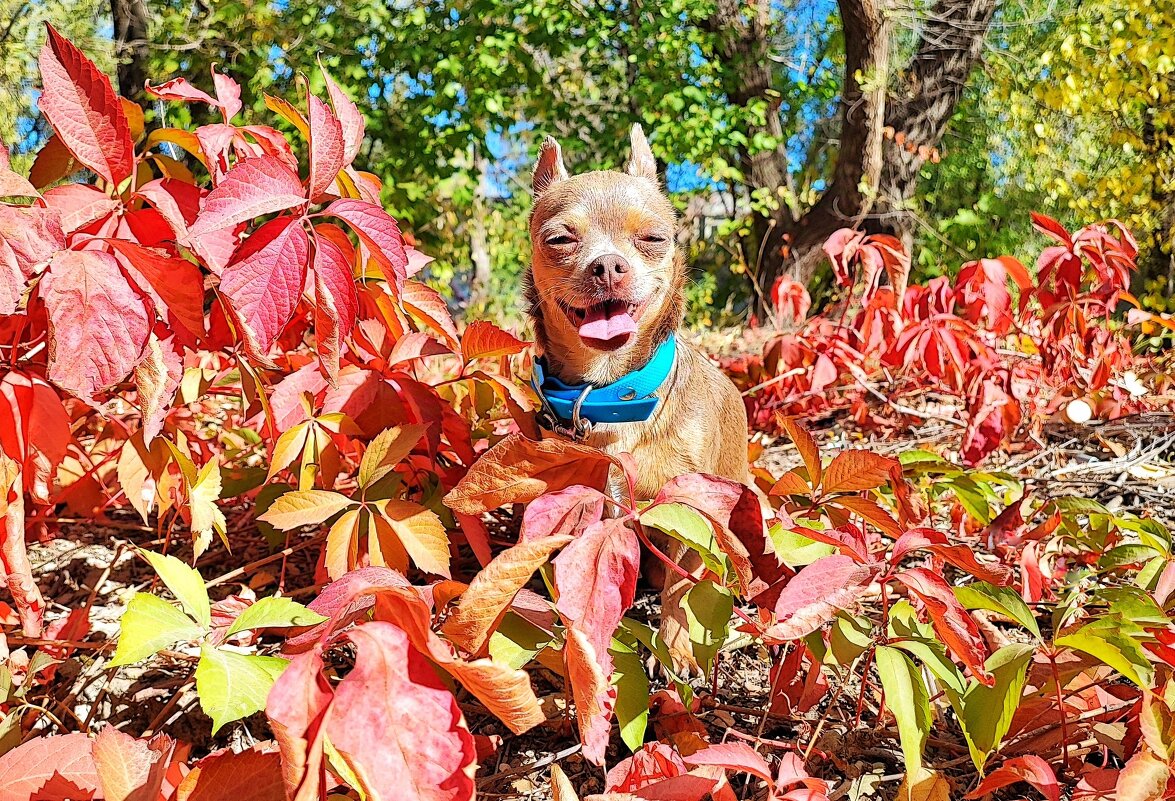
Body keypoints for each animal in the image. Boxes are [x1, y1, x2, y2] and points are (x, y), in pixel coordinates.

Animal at [526, 124, 747, 667]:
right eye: (560, 239)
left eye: (653, 239)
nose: (608, 265)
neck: (610, 391)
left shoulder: (688, 511)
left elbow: (679, 588)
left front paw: (676, 651)